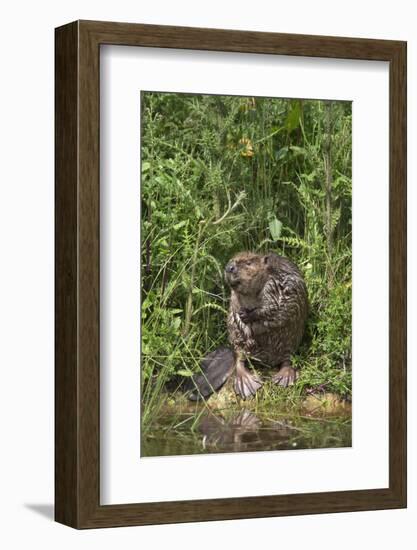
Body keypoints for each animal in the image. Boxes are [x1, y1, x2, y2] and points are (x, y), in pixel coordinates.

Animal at [224, 252, 308, 398]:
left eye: (249, 263)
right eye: (231, 260)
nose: (230, 267)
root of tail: (266, 363)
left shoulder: (273, 285)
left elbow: (274, 307)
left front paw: (248, 315)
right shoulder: (234, 296)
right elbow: (235, 313)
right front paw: (249, 338)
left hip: (291, 341)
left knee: (287, 359)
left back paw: (283, 379)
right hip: (235, 341)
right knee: (239, 359)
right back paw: (247, 383)